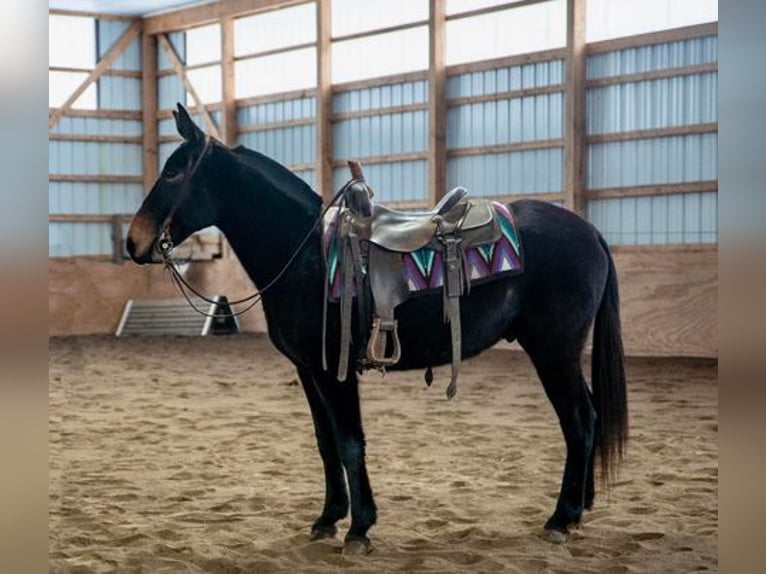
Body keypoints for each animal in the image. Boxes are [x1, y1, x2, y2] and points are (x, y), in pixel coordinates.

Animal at [127, 106, 632, 556]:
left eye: (173, 173)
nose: (133, 242)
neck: (305, 253)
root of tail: (589, 231)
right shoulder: (309, 371)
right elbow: (326, 444)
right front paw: (328, 518)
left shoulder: (335, 373)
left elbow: (350, 444)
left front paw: (359, 528)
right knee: (587, 417)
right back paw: (580, 507)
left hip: (553, 351)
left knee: (579, 420)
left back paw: (561, 518)